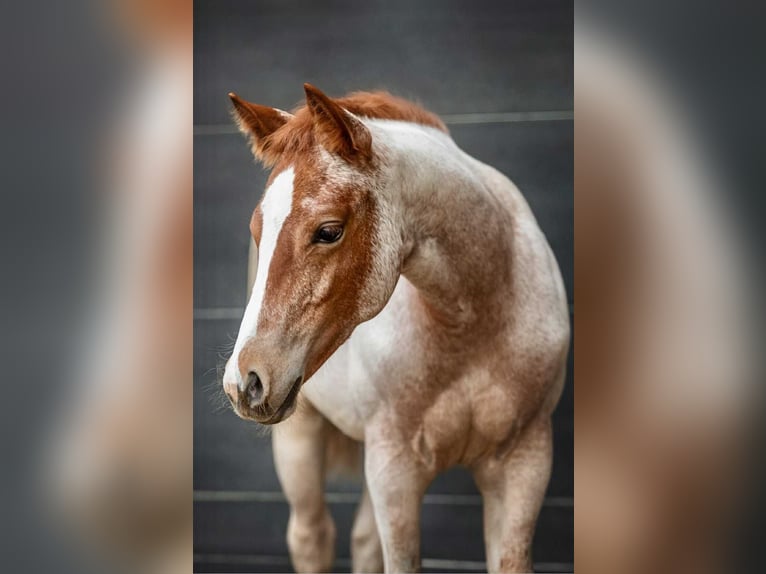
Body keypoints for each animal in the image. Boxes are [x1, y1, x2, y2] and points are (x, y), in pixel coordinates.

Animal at [221, 84, 569, 574]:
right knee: (311, 536)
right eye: (258, 230)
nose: (244, 381)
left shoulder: (525, 464)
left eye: (328, 231)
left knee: (364, 540)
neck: (474, 320)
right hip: (300, 435)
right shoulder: (395, 471)